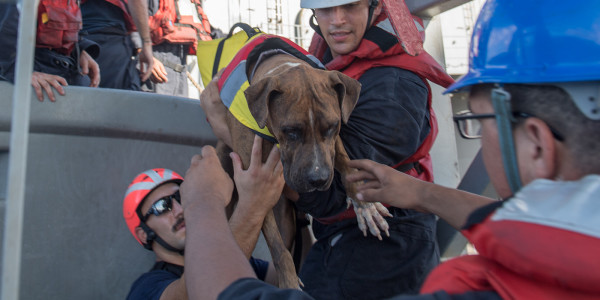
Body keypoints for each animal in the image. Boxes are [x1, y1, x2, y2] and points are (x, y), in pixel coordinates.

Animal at [202, 40, 392, 288]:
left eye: (332, 127)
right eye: (291, 131)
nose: (318, 179)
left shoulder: (334, 142)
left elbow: (347, 163)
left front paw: (364, 205)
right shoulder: (254, 189)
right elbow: (277, 247)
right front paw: (289, 282)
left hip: (287, 218)